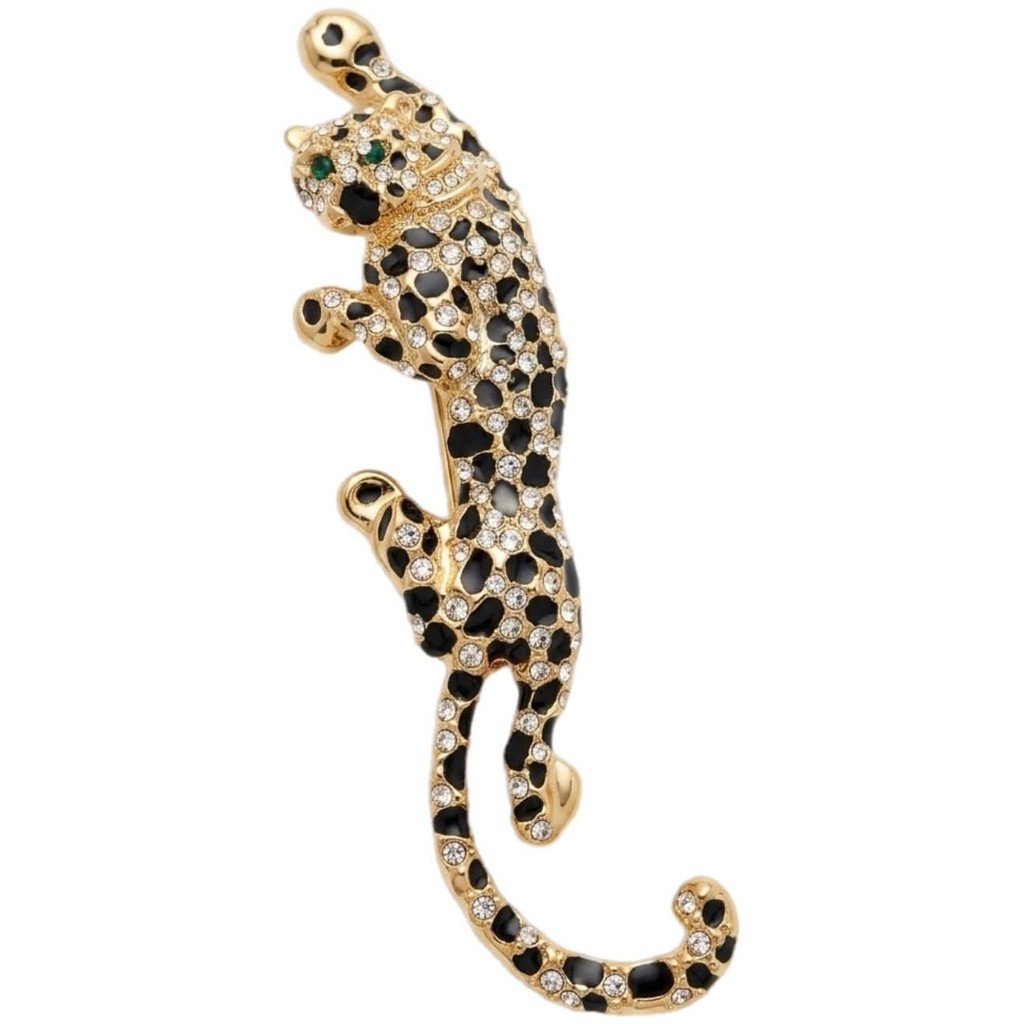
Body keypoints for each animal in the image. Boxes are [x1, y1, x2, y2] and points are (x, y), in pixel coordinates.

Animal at [287, 10, 737, 1012]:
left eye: (354, 158)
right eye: (320, 160)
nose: (323, 186)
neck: (428, 200)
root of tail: (497, 644)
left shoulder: (449, 337)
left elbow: (395, 330)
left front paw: (326, 308)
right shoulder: (456, 131)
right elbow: (405, 82)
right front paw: (343, 46)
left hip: (500, 619)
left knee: (453, 654)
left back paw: (373, 496)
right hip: (544, 669)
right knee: (520, 757)